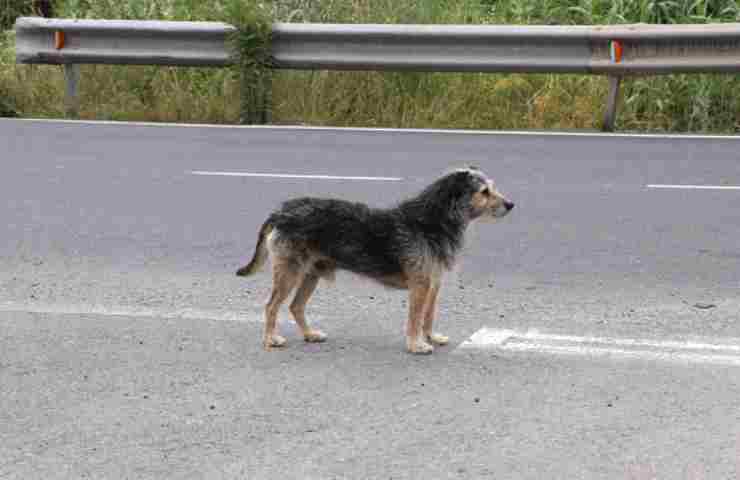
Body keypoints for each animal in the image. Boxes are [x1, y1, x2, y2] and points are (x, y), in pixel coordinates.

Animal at [237, 167, 516, 354]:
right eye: (484, 191)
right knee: (271, 306)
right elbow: (415, 318)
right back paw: (271, 339)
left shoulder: (433, 285)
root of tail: (280, 212)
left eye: (492, 187)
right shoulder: (420, 285)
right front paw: (416, 345)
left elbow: (428, 316)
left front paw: (431, 337)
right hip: (290, 272)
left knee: (295, 306)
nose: (511, 204)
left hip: (311, 274)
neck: (431, 222)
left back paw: (310, 334)